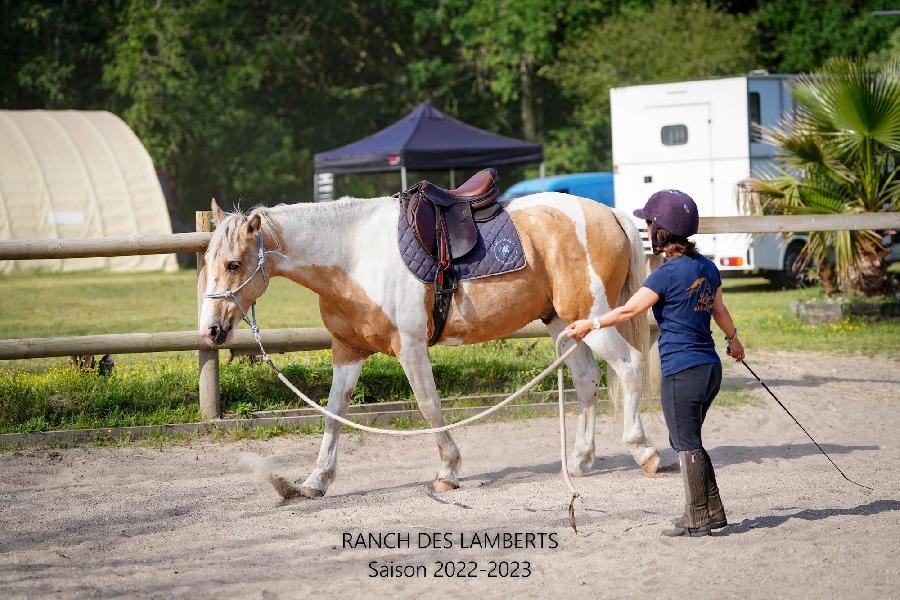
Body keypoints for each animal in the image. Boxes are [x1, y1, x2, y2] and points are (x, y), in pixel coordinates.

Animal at [199, 191, 660, 496]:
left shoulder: (411, 348)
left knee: (630, 366)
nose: (211, 331)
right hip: (566, 323)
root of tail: (608, 212)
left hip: (595, 322)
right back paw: (580, 461)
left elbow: (429, 405)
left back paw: (644, 451)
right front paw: (316, 479)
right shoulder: (348, 351)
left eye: (233, 263)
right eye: (205, 261)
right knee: (586, 380)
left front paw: (448, 470)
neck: (353, 255)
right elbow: (333, 413)